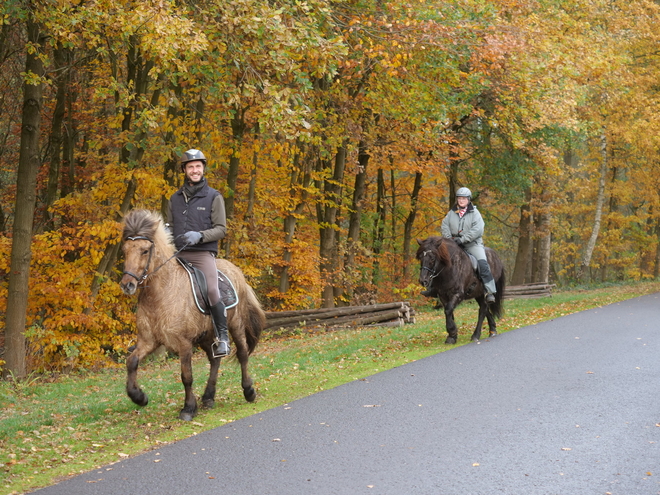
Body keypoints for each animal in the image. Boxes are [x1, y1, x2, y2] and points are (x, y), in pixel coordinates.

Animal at [118, 209, 266, 422]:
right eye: (125, 250)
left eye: (145, 250)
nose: (127, 285)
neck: (161, 293)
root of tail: (234, 270)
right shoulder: (148, 341)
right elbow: (132, 362)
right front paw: (139, 397)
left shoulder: (184, 343)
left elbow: (186, 376)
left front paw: (188, 408)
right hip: (206, 335)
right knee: (215, 360)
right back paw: (208, 397)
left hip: (235, 325)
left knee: (243, 354)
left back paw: (248, 391)